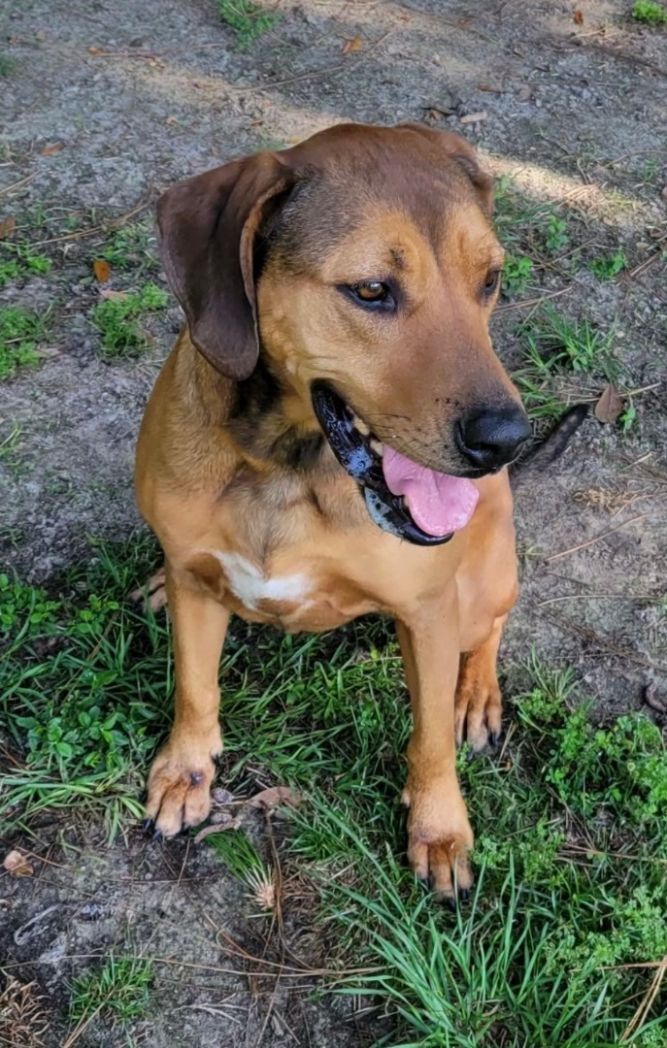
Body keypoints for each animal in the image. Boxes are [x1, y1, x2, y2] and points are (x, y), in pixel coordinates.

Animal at [135, 118, 530, 897]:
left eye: (490, 281)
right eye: (371, 289)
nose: (505, 439)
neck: (285, 466)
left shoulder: (427, 612)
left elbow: (429, 739)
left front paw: (439, 828)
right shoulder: (201, 581)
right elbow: (195, 687)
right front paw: (186, 770)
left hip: (484, 583)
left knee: (492, 629)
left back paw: (476, 693)